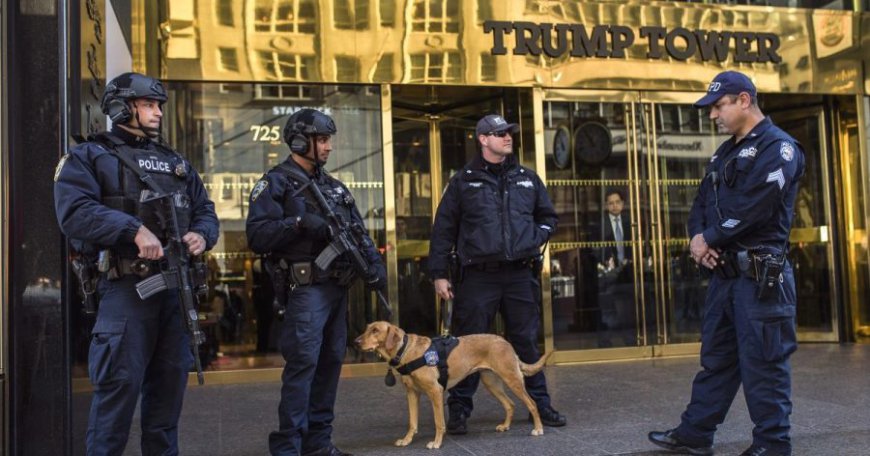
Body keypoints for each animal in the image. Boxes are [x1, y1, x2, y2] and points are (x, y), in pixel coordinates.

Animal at [354, 320, 552, 448]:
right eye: (367, 329)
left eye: (375, 330)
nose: (356, 342)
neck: (405, 351)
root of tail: (505, 341)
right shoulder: (412, 393)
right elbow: (412, 422)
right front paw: (407, 440)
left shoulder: (435, 392)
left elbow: (439, 422)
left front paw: (436, 443)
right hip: (492, 383)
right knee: (510, 404)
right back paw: (505, 426)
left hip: (512, 380)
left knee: (532, 403)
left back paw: (538, 429)